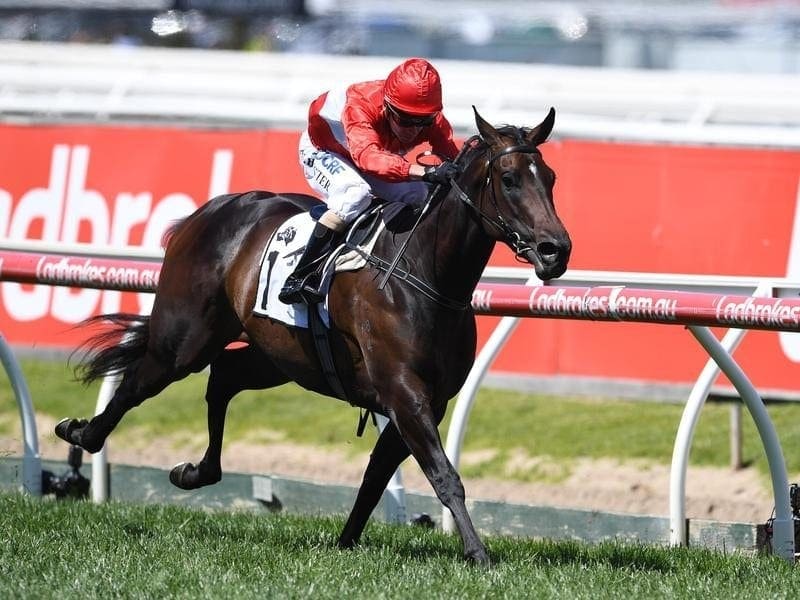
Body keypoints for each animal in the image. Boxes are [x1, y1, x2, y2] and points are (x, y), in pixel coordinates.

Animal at [54, 106, 568, 564]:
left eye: (550, 177)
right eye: (509, 179)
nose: (555, 250)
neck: (426, 273)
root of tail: (210, 210)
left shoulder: (427, 400)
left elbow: (376, 476)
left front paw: (346, 542)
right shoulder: (405, 393)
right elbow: (444, 476)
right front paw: (478, 554)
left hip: (279, 355)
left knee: (224, 375)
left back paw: (195, 471)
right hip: (184, 339)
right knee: (139, 382)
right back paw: (81, 432)